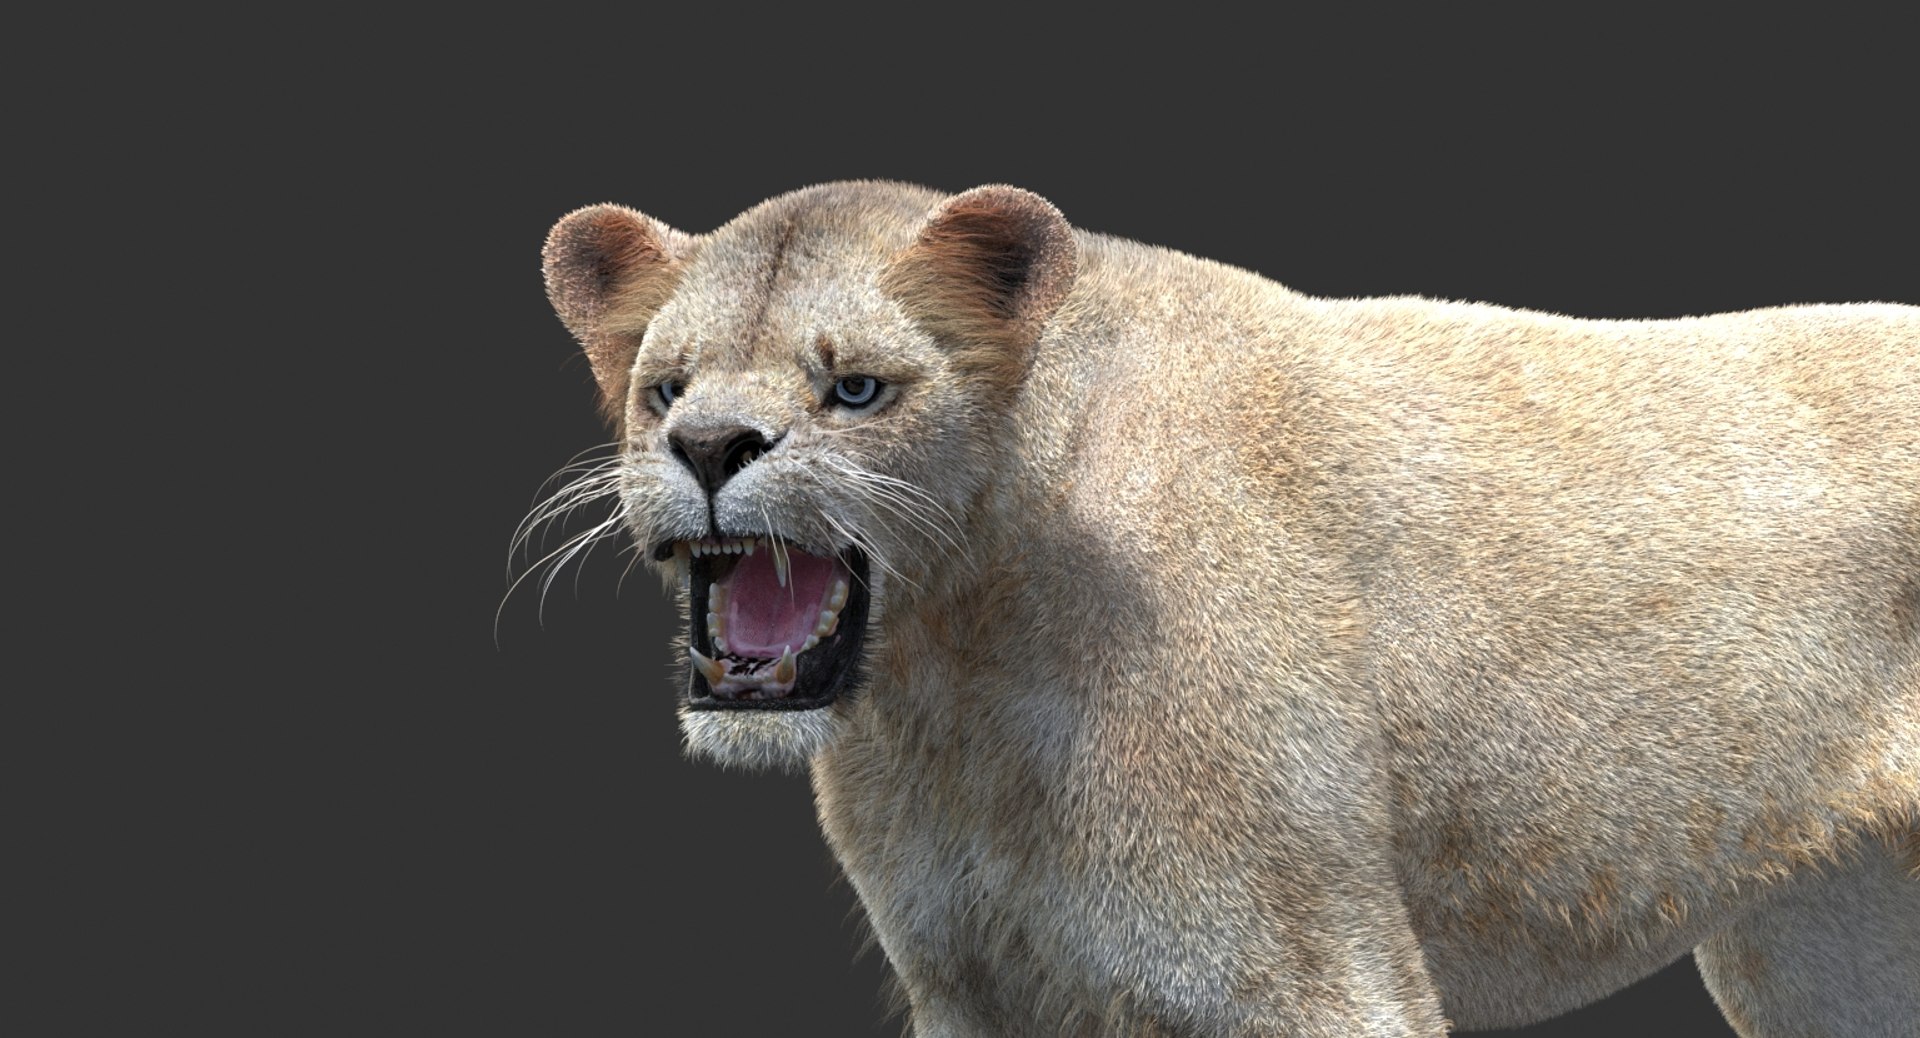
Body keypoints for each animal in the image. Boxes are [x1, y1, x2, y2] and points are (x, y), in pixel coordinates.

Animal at [535, 180, 1918, 1037]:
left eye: (857, 388)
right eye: (666, 389)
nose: (708, 448)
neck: (953, 677)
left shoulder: (1300, 970)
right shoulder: (977, 986)